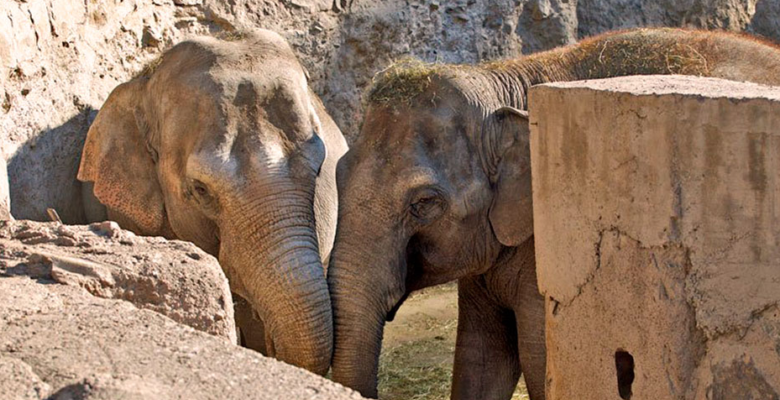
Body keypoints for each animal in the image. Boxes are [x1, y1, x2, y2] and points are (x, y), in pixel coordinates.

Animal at [327, 28, 780, 399]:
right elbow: (480, 356)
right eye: (339, 174)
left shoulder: (548, 250)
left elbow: (538, 357)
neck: (507, 81)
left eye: (423, 204)